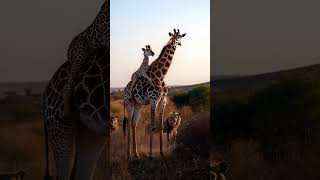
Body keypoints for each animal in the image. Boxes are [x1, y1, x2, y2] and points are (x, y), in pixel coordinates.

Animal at [123, 28, 188, 158]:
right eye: (177, 37)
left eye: (181, 36)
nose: (180, 43)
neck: (160, 76)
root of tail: (125, 89)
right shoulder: (154, 101)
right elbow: (153, 127)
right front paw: (151, 154)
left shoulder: (163, 101)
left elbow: (161, 127)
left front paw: (162, 152)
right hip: (129, 102)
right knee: (128, 123)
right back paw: (128, 154)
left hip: (138, 104)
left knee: (134, 123)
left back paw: (136, 153)